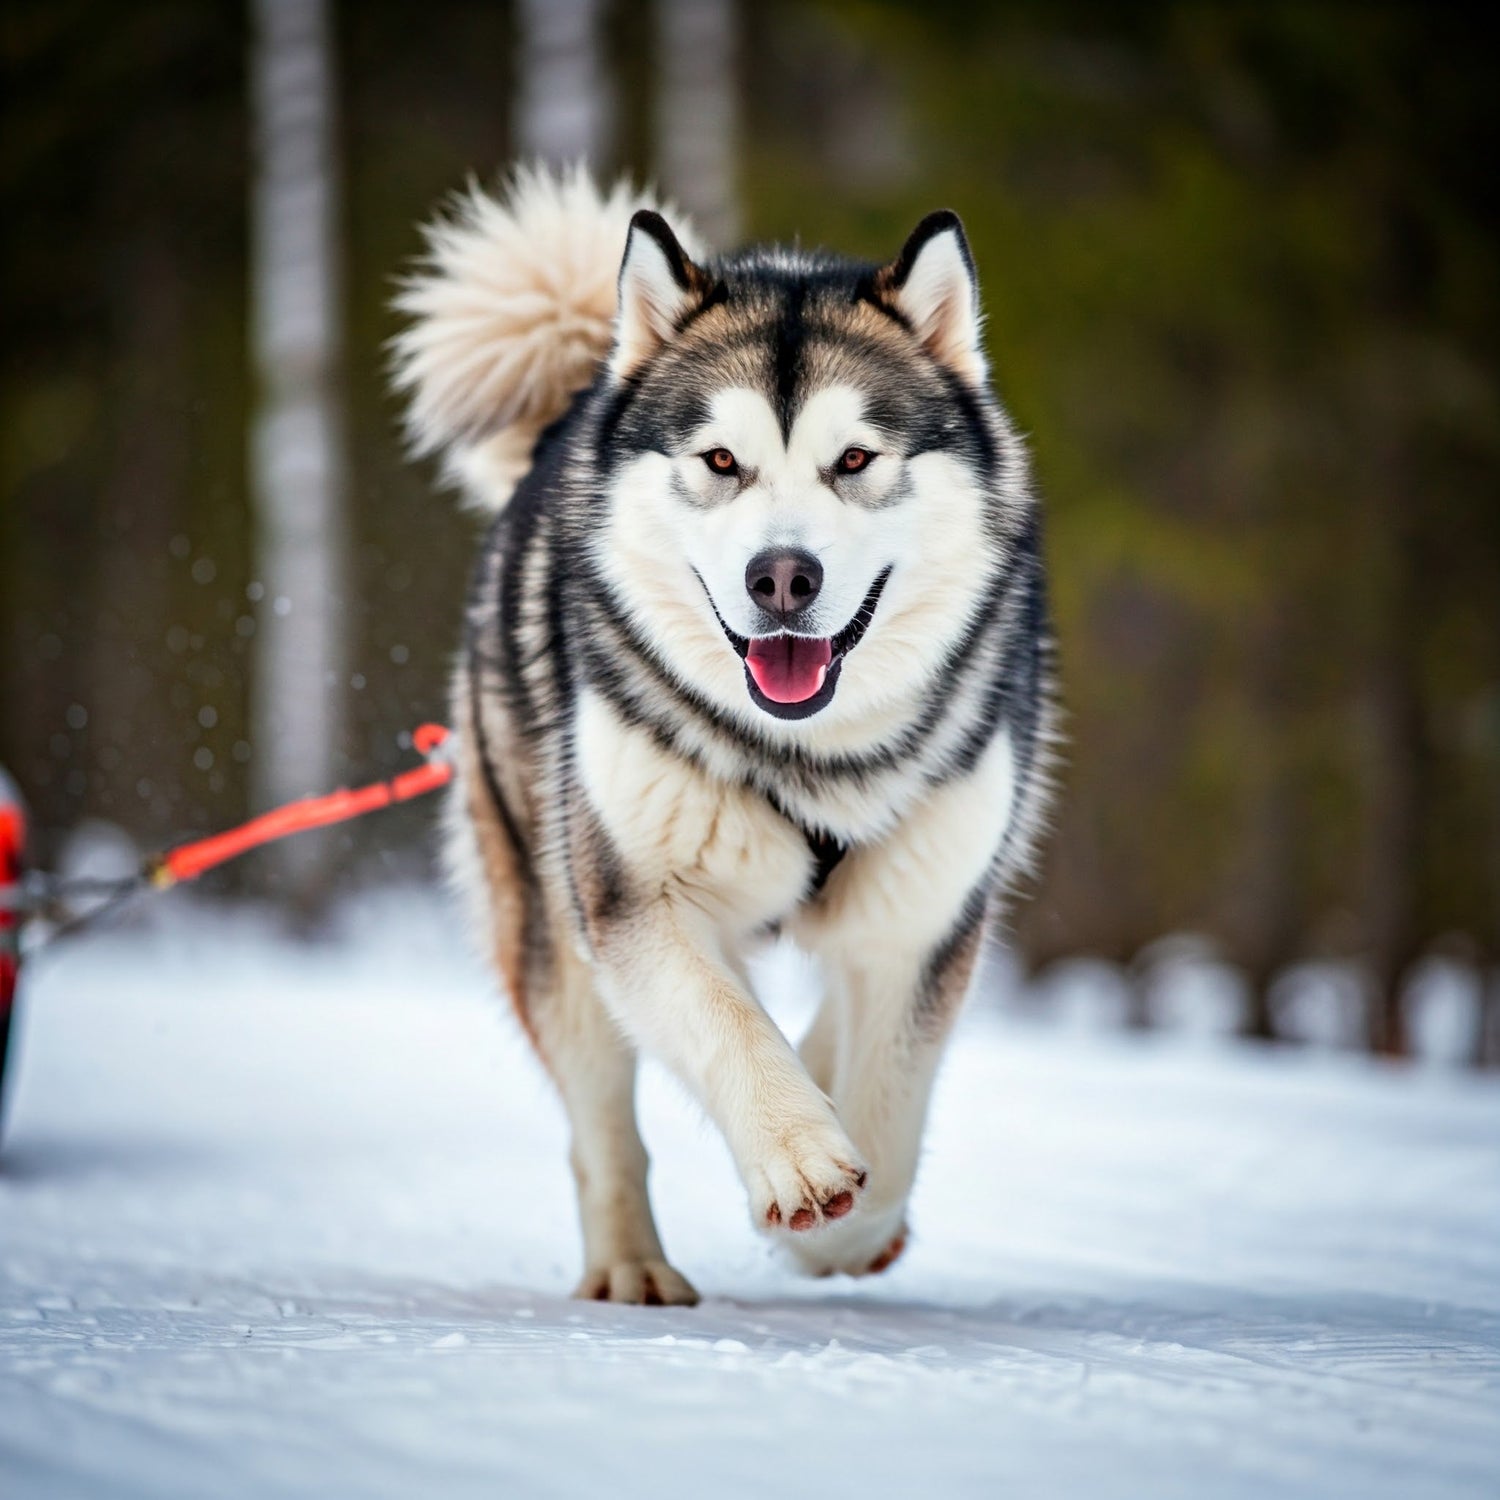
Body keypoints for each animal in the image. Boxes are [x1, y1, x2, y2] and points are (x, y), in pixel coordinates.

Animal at [396, 170, 1056, 1308]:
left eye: (854, 460)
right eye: (720, 460)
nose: (782, 576)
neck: (809, 756)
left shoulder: (927, 917)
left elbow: (890, 1105)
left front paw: (840, 1228)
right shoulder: (631, 899)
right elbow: (724, 1024)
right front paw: (798, 1157)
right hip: (550, 916)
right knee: (604, 1120)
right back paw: (631, 1264)